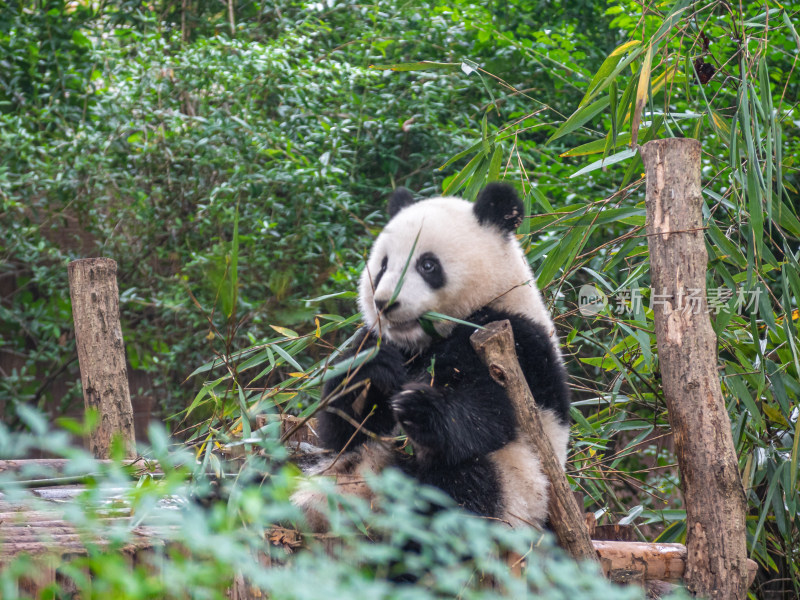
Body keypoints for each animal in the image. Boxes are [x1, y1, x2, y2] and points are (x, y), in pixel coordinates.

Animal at [294, 182, 568, 528]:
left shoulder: (515, 342)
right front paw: (372, 368)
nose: (385, 302)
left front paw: (418, 407)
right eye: (383, 265)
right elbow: (344, 431)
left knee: (463, 488)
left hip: (520, 488)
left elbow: (492, 415)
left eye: (427, 265)